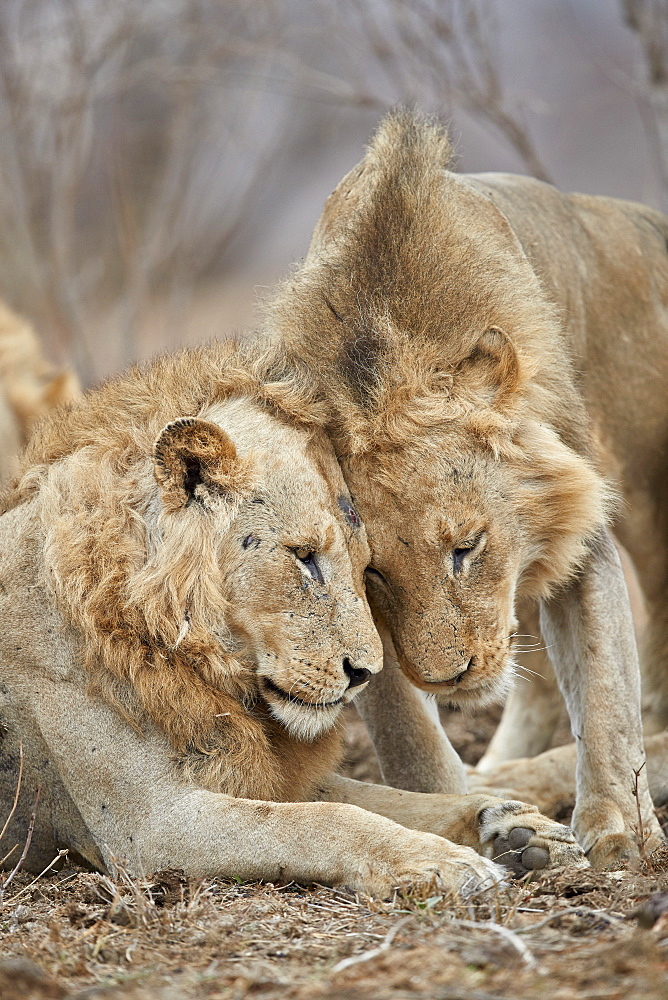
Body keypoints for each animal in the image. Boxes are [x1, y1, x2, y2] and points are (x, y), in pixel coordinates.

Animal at [0, 342, 584, 900]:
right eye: (304, 557)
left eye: (365, 566)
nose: (363, 674)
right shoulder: (146, 825)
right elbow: (329, 820)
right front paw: (440, 861)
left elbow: (389, 799)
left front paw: (514, 830)